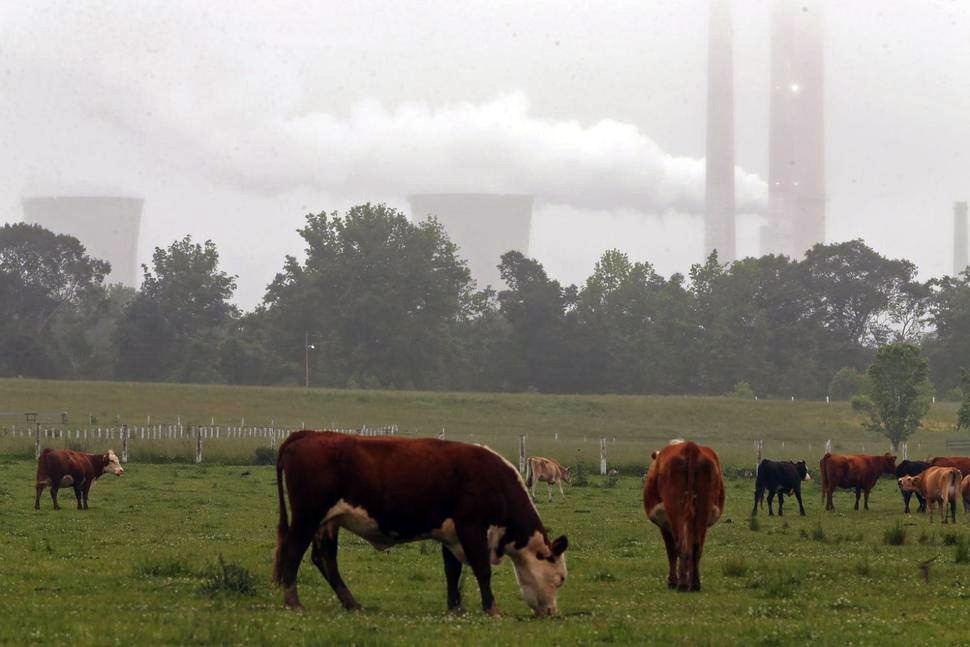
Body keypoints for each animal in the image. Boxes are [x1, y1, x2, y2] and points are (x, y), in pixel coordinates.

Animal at [272, 430, 568, 616]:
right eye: (561, 578)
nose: (552, 612)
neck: (494, 480)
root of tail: (308, 433)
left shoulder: (451, 535)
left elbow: (453, 571)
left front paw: (455, 607)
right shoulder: (471, 528)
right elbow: (482, 569)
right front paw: (491, 608)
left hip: (327, 522)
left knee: (325, 559)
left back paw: (352, 603)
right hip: (307, 517)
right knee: (293, 552)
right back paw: (293, 602)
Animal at [640, 440, 724, 592]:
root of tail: (691, 447)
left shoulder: (664, 524)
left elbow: (671, 551)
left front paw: (672, 581)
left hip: (675, 512)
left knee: (679, 546)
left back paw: (681, 584)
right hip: (702, 511)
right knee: (696, 547)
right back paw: (694, 584)